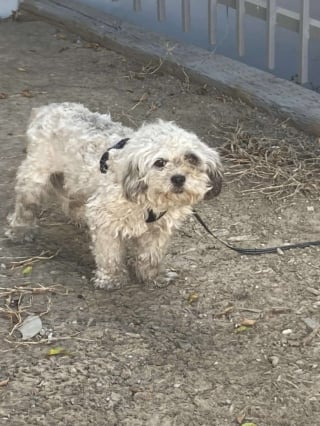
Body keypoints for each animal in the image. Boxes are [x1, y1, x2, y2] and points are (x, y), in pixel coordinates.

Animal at [8, 103, 222, 290]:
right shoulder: (106, 220)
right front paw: (111, 278)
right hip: (35, 176)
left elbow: (151, 255)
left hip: (77, 179)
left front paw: (153, 276)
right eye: (159, 162)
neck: (147, 199)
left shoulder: (158, 229)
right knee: (26, 204)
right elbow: (109, 254)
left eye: (192, 158)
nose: (178, 178)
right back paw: (20, 230)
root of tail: (48, 108)